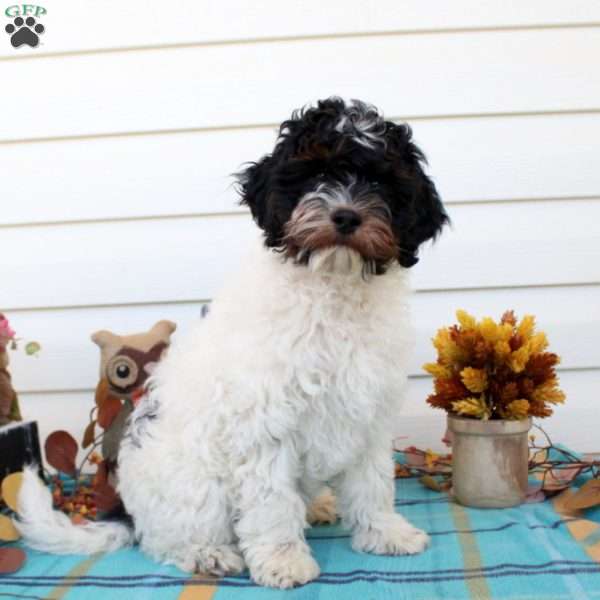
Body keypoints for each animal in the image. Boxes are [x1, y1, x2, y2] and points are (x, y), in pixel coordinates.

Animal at [17, 96, 446, 588]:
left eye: (379, 181)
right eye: (315, 173)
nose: (345, 216)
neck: (332, 288)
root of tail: (127, 510)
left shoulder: (368, 413)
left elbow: (373, 482)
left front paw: (386, 533)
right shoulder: (265, 422)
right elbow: (272, 501)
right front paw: (283, 560)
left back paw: (317, 505)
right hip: (196, 488)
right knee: (166, 540)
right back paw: (208, 553)